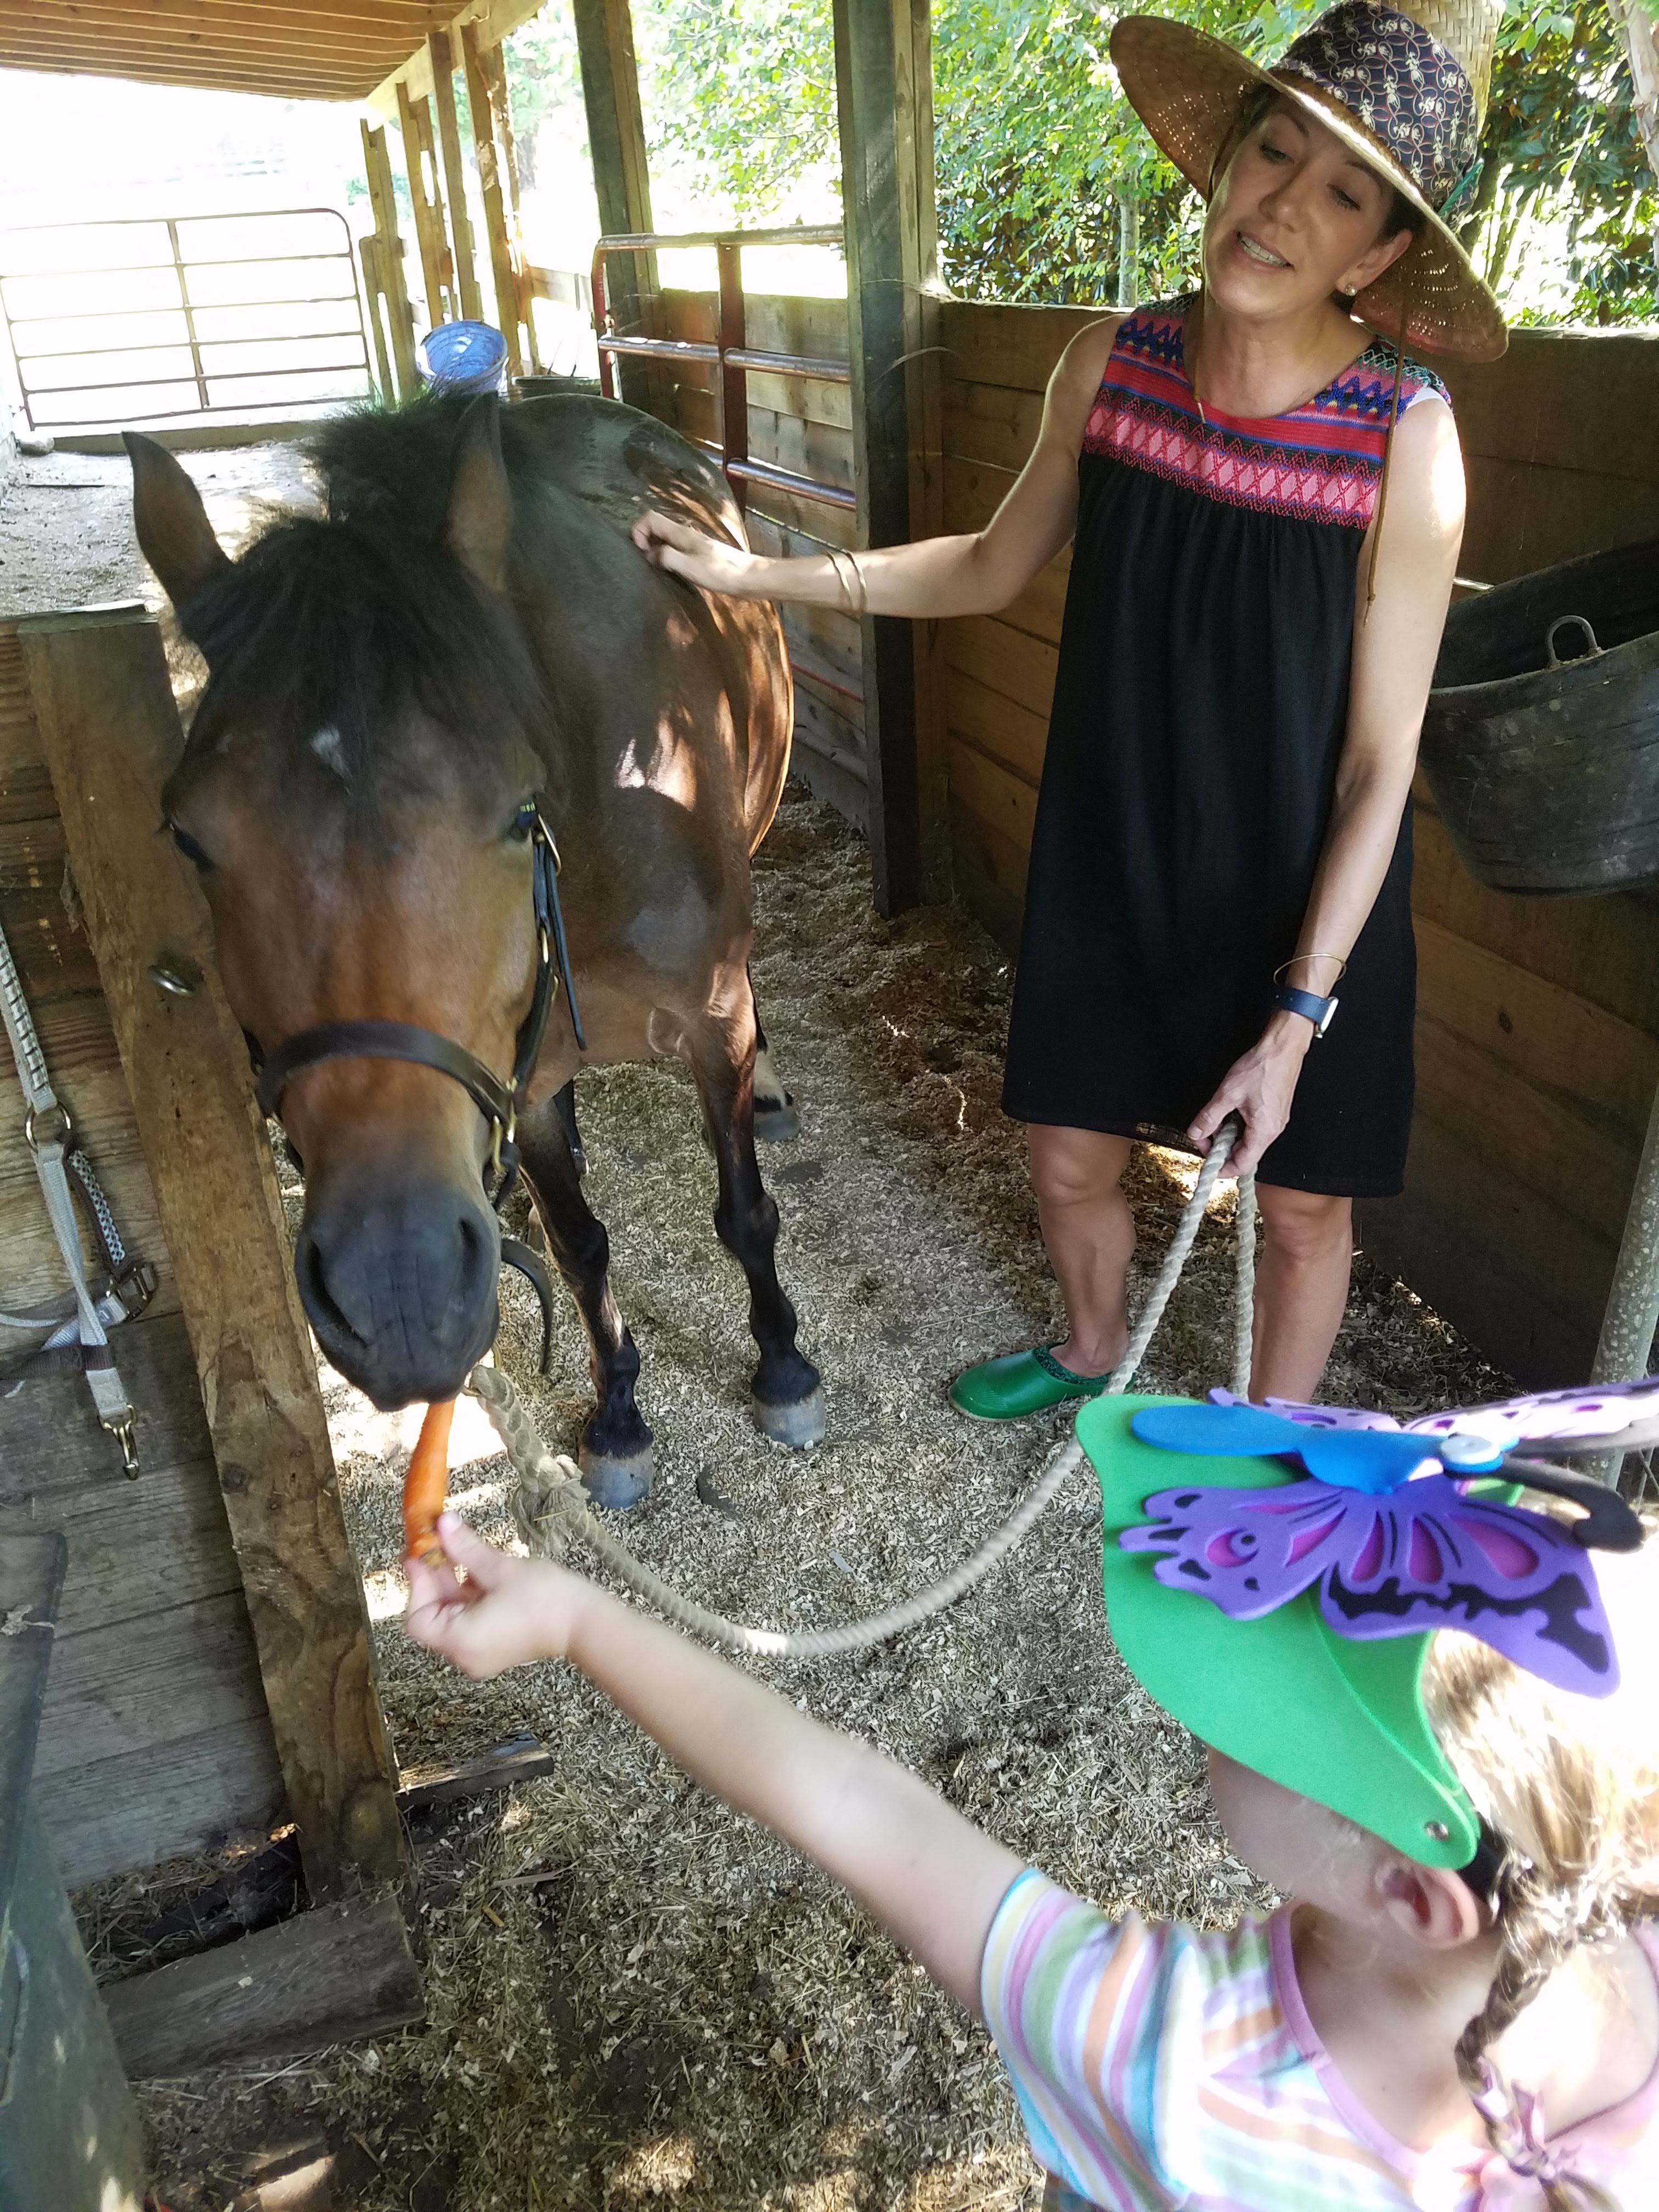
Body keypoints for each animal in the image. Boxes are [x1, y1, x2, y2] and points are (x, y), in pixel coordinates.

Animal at [126, 391, 824, 1507]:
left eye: (518, 810)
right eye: (190, 837)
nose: (398, 1289)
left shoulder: (712, 1021)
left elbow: (745, 1214)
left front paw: (785, 1367)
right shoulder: (525, 1076)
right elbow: (581, 1247)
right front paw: (618, 1412)